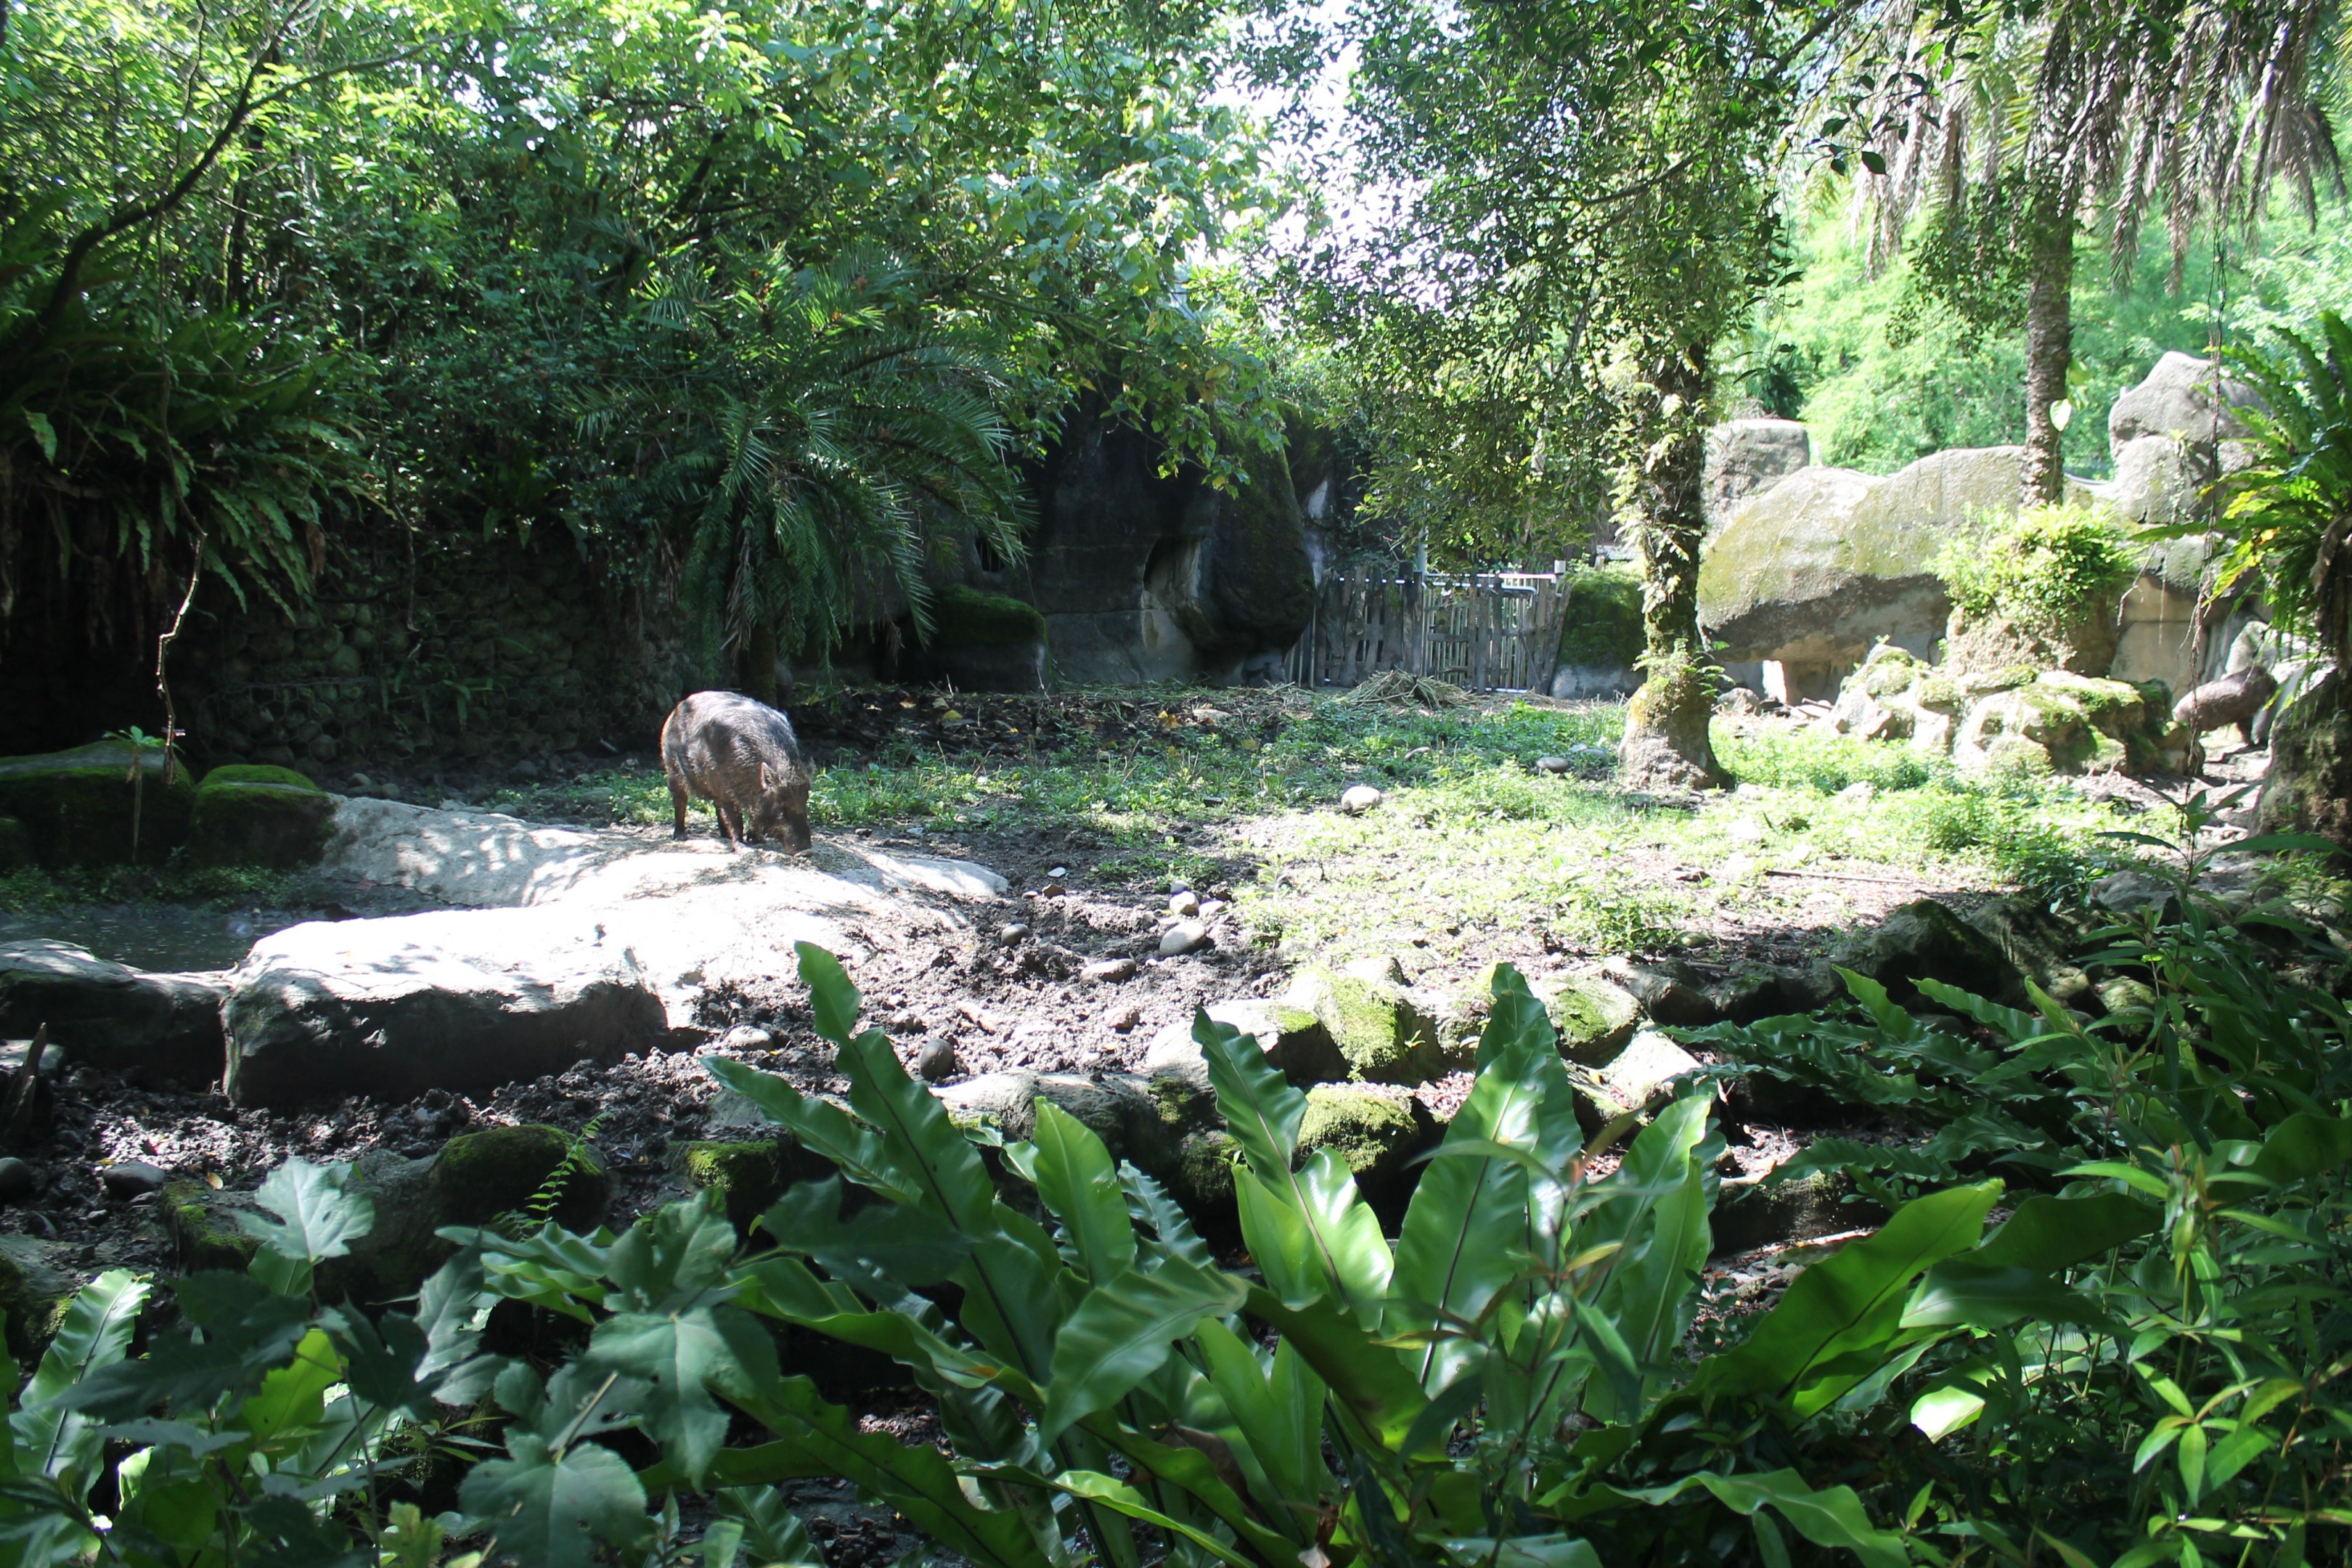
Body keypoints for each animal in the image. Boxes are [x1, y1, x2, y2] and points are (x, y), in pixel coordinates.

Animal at [659, 690, 814, 852]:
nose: (806, 852)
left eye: (805, 800)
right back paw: (681, 837)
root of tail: (677, 709)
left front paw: (758, 841)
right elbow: (735, 817)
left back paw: (725, 836)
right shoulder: (726, 789)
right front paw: (743, 848)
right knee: (680, 800)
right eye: (781, 804)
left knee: (717, 806)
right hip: (672, 768)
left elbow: (751, 814)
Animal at [2172, 664, 2278, 746]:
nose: (2275, 681)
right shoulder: (2246, 714)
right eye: (2268, 674)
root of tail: (2175, 711)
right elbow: (2246, 729)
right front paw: (2252, 743)